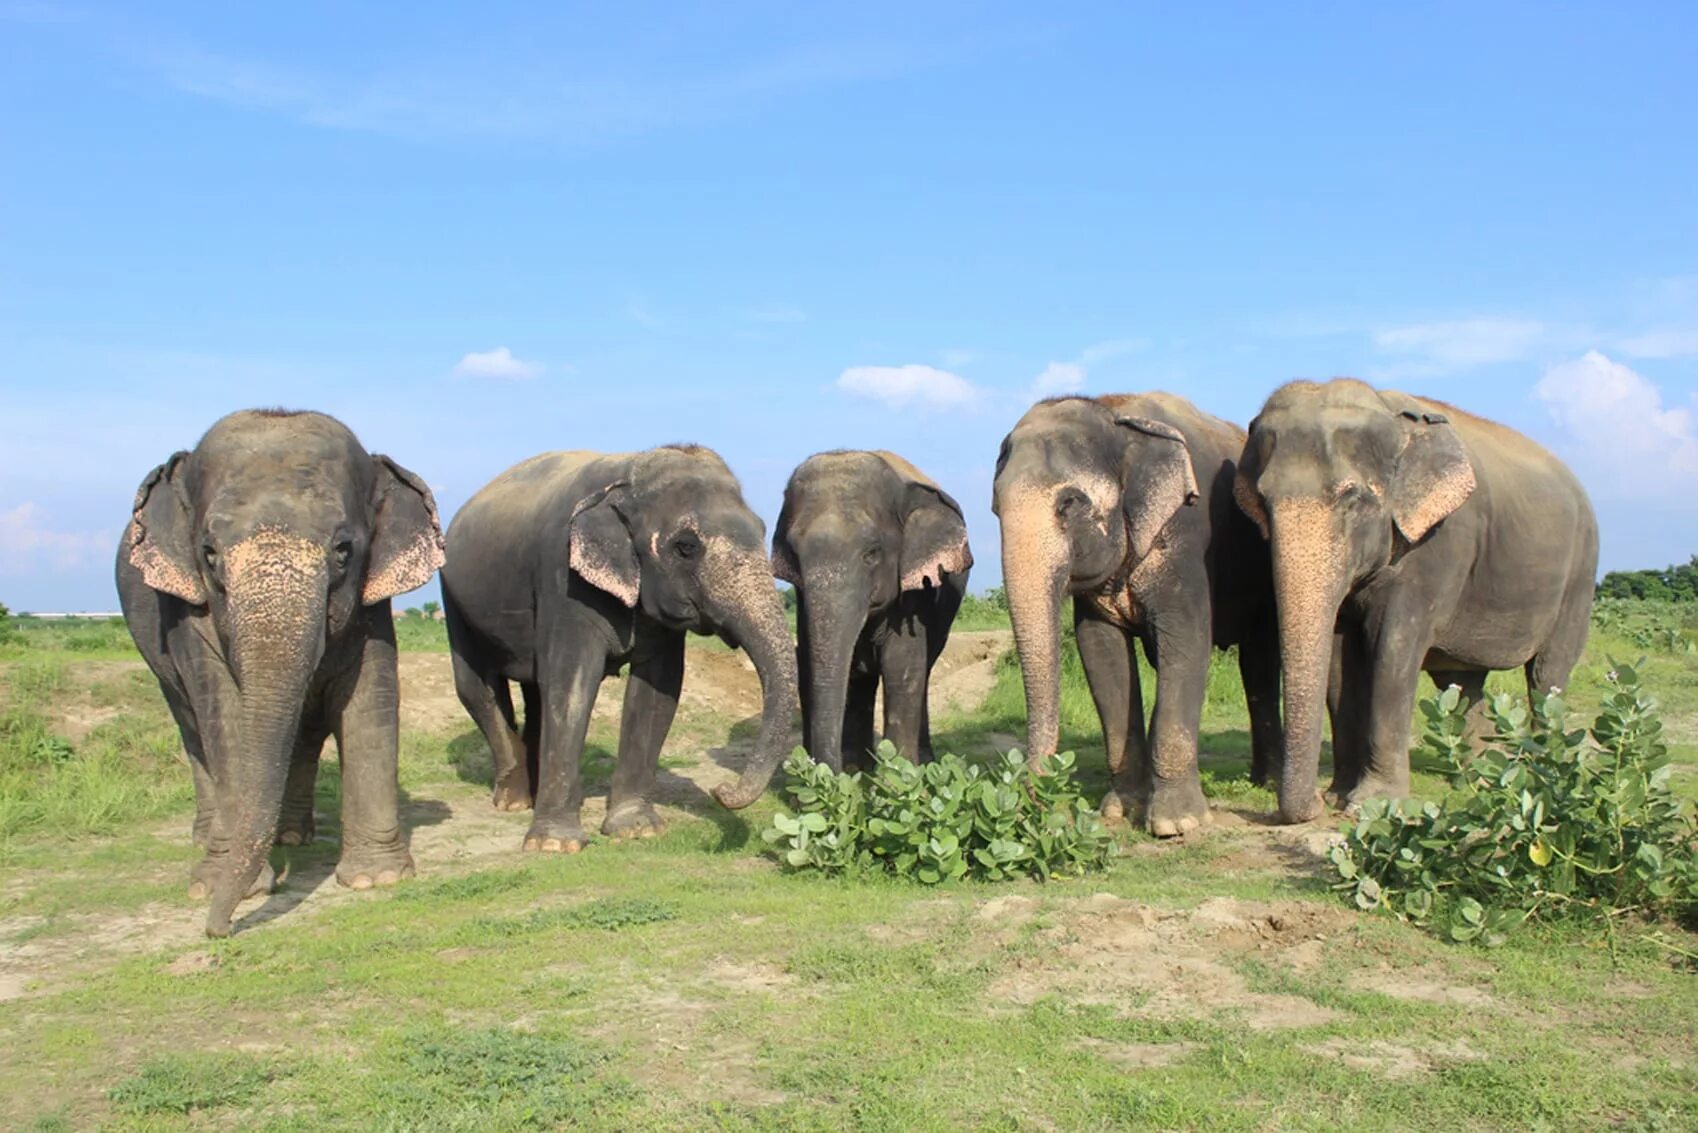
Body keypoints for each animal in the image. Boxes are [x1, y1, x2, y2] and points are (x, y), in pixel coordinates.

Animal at [117, 409, 448, 937]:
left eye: (343, 550)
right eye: (209, 553)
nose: (218, 930)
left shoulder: (373, 606)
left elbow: (369, 699)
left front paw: (375, 879)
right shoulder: (186, 613)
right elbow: (224, 717)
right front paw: (217, 886)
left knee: (303, 735)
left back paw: (291, 837)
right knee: (191, 728)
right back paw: (207, 839)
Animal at [444, 445, 801, 849]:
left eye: (762, 529)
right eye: (687, 547)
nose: (720, 790)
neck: (629, 473)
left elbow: (658, 691)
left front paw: (636, 828)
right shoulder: (563, 579)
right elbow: (571, 684)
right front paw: (555, 845)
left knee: (532, 691)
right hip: (454, 596)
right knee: (476, 687)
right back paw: (514, 802)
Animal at [770, 448, 971, 771]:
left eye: (872, 553)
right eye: (794, 554)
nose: (824, 770)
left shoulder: (916, 589)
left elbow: (901, 665)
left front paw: (899, 778)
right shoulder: (802, 595)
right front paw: (847, 777)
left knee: (923, 670)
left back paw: (922, 763)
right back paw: (860, 769)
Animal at [991, 394, 1276, 839]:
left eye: (1069, 503)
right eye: (996, 508)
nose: (1036, 811)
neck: (1114, 414)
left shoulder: (1186, 534)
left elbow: (1187, 636)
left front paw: (1176, 823)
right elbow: (1101, 650)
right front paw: (1119, 810)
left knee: (1260, 658)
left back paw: (1267, 783)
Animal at [1229, 380, 1596, 825]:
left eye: (1353, 499)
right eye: (1263, 503)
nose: (1314, 801)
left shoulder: (1437, 545)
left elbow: (1393, 649)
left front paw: (1372, 804)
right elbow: (1338, 660)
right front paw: (1339, 796)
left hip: (1581, 574)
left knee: (1548, 673)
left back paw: (1545, 769)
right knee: (1464, 682)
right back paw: (1478, 774)